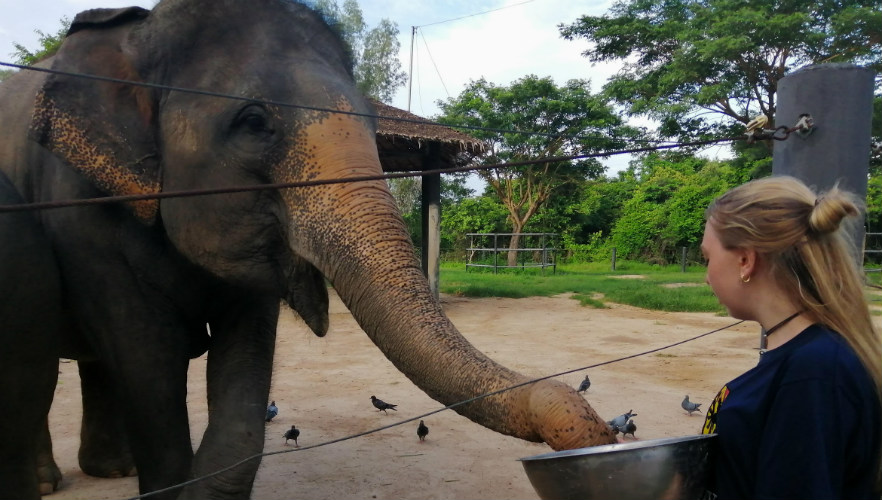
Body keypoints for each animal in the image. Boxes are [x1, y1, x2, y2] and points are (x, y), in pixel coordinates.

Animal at [0, 1, 616, 498]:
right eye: (253, 121)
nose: (594, 429)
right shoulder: (79, 207)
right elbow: (145, 355)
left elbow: (245, 382)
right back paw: (54, 481)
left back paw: (112, 472)